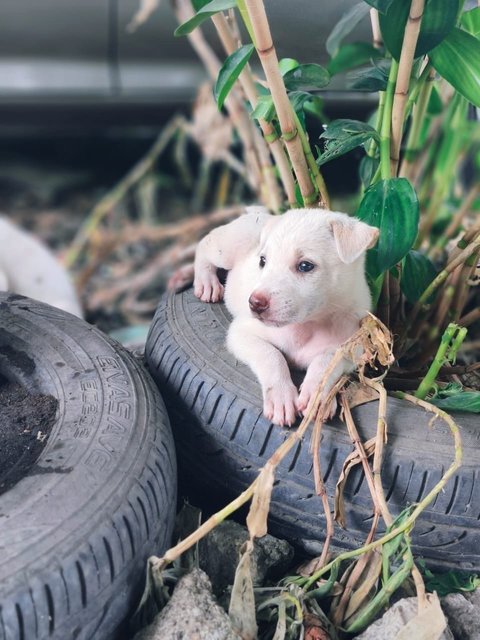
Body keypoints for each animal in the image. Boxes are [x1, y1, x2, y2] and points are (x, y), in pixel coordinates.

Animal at [182, 206, 376, 424]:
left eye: (305, 266)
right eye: (262, 261)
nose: (254, 303)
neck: (307, 325)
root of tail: (260, 212)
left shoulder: (353, 347)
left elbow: (325, 362)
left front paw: (316, 395)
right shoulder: (241, 334)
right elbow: (272, 355)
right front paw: (281, 397)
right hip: (226, 247)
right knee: (205, 243)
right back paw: (205, 281)